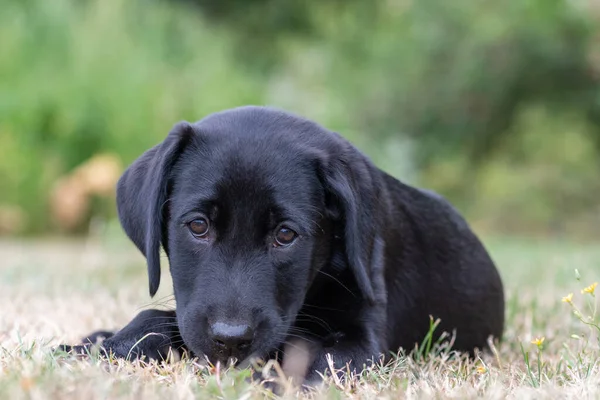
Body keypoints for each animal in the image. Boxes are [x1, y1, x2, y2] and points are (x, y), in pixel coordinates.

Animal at [62, 106, 502, 382]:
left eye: (285, 235)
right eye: (198, 226)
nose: (231, 340)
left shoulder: (361, 340)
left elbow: (312, 359)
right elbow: (155, 319)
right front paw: (99, 347)